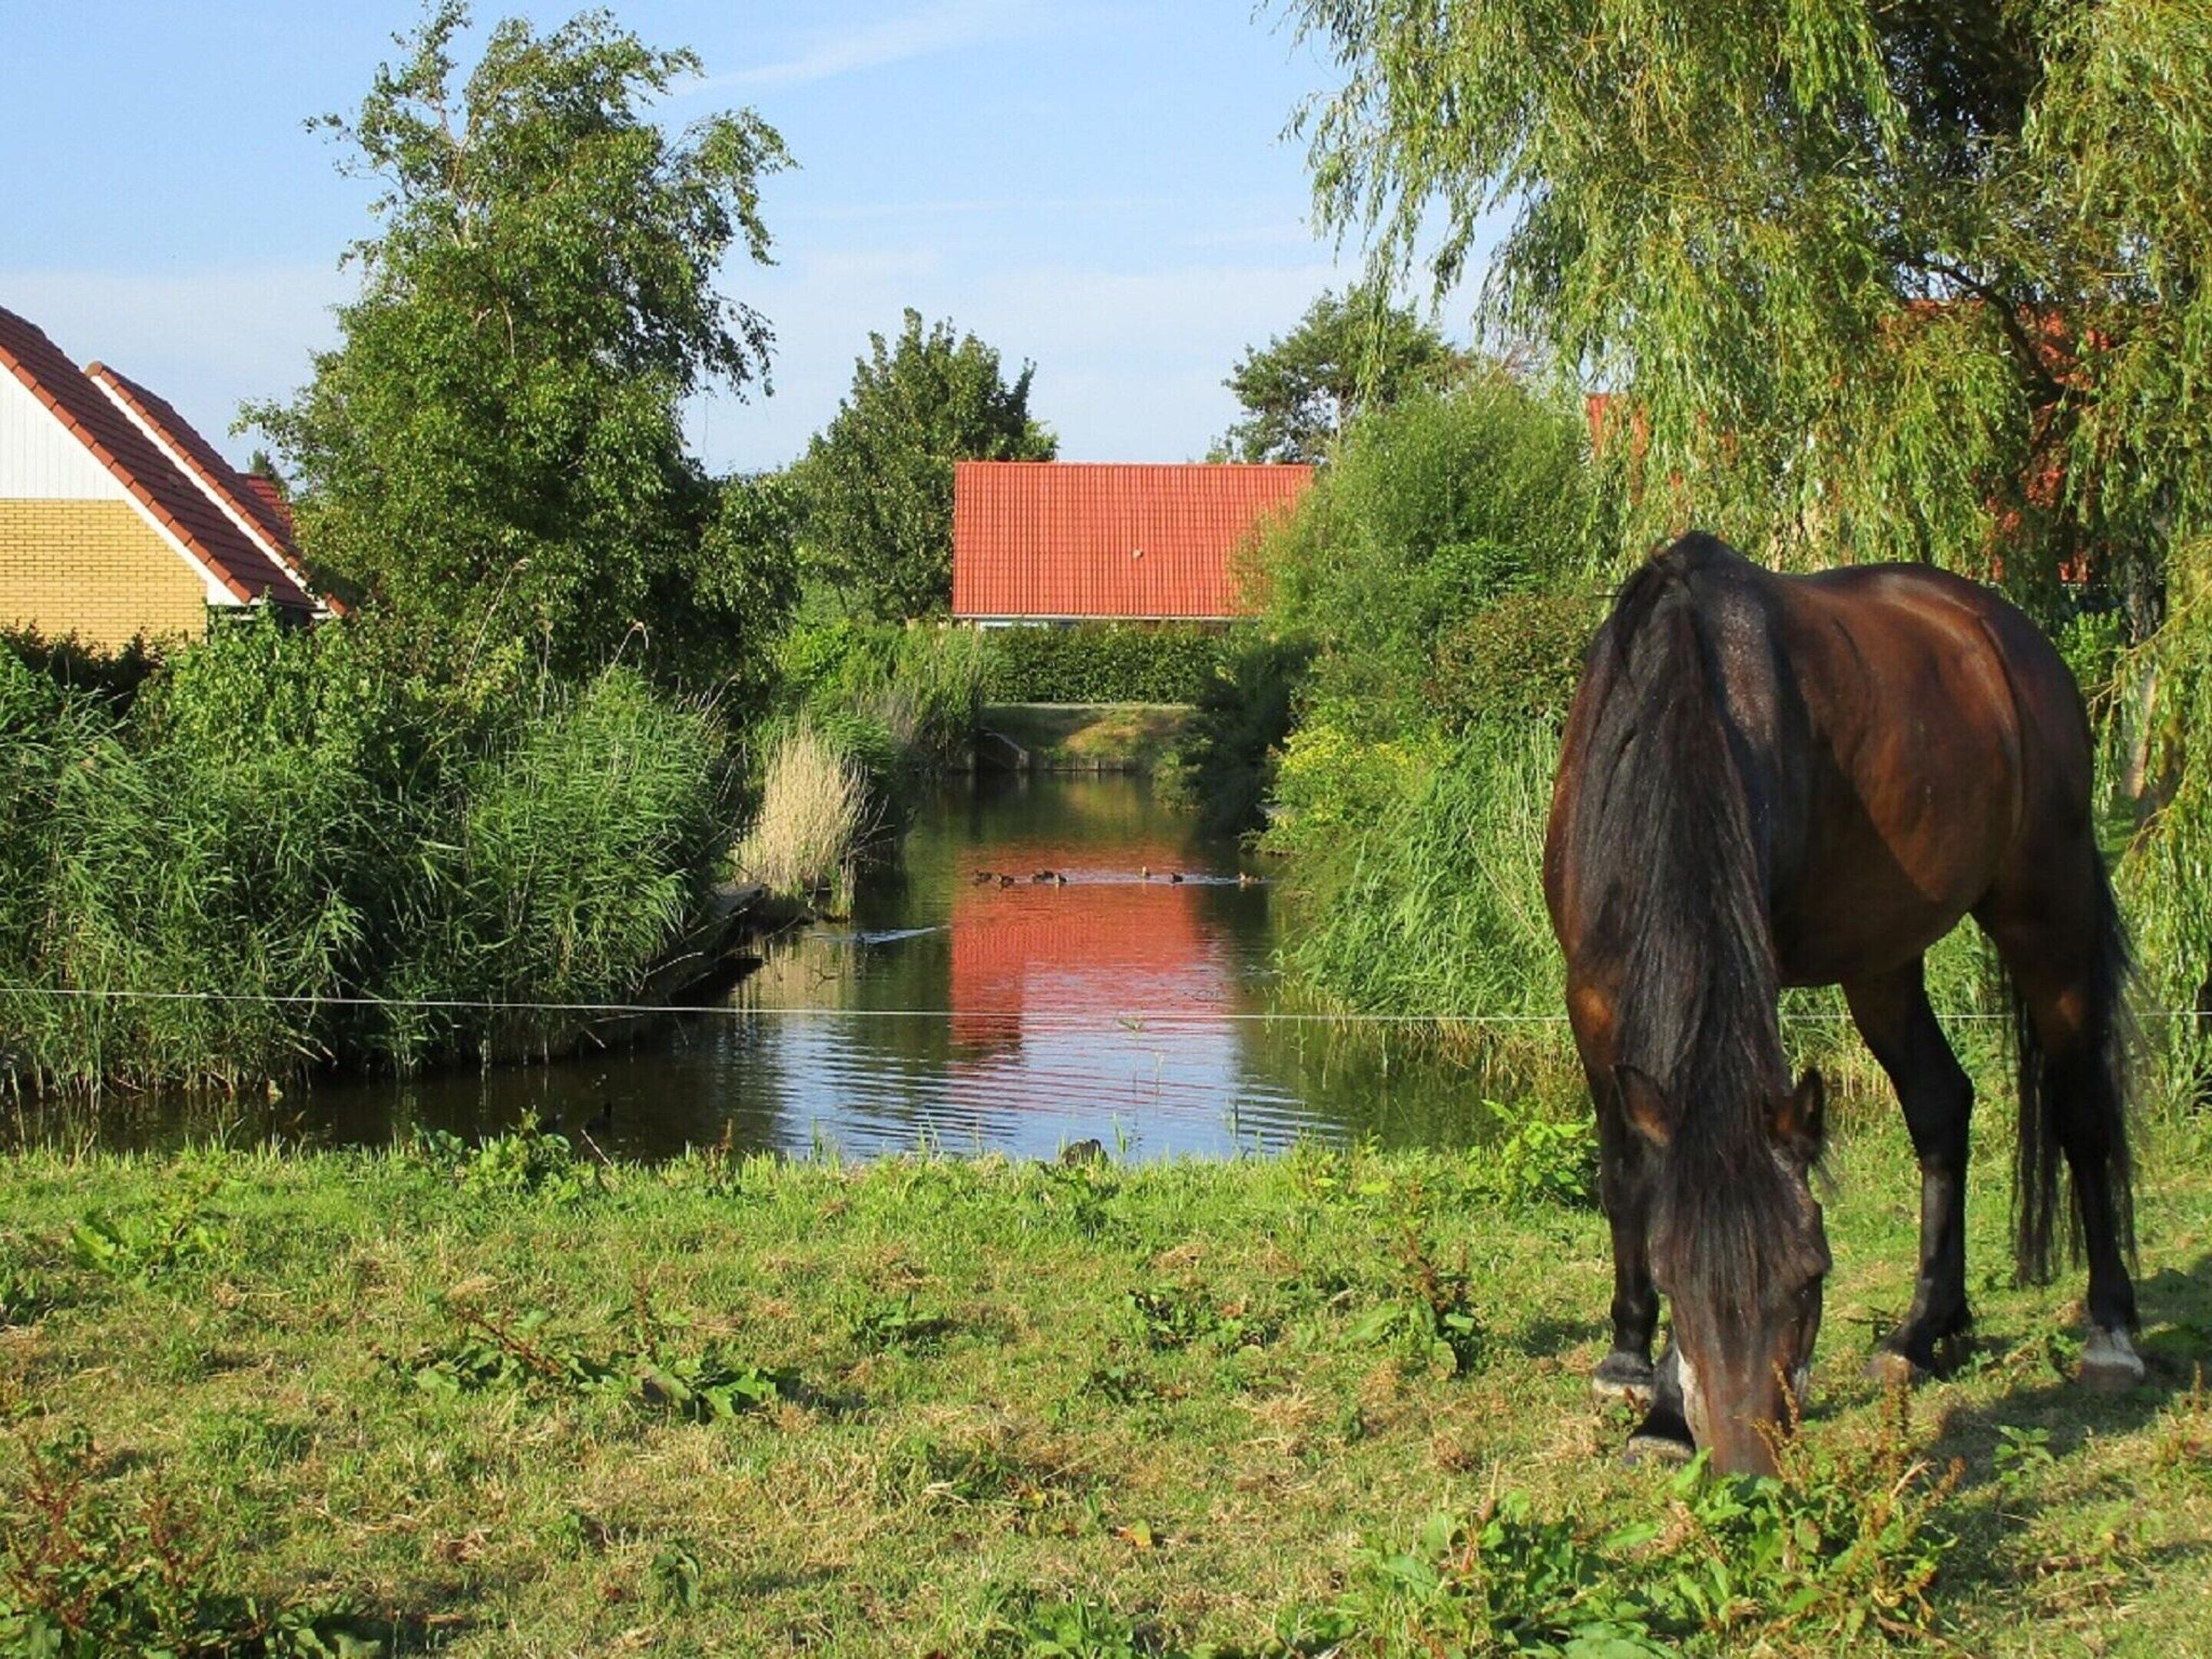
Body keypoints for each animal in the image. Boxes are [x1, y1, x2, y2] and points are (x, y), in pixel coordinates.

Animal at [1543, 532, 2140, 1475]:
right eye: (1675, 1278)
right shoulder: (1592, 997)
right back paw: (1922, 1332)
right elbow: (1629, 1175)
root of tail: (2003, 631)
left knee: (2081, 1110)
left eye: (1811, 1275)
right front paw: (1633, 1368)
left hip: (2046, 908)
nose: (1748, 1464)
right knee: (1941, 1105)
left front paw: (1665, 1409)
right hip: (1883, 961)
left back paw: (2112, 1332)